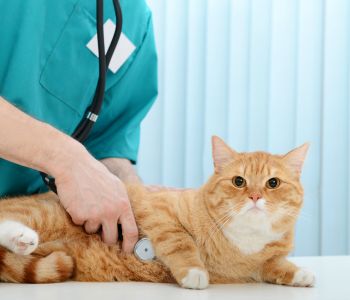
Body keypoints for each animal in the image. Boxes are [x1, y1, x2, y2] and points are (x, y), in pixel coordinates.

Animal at [0, 136, 314, 288]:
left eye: (273, 183)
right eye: (239, 181)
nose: (255, 196)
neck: (244, 241)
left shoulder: (262, 263)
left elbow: (276, 265)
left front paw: (300, 274)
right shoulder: (160, 213)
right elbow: (181, 242)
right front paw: (194, 272)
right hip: (45, 215)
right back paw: (22, 237)